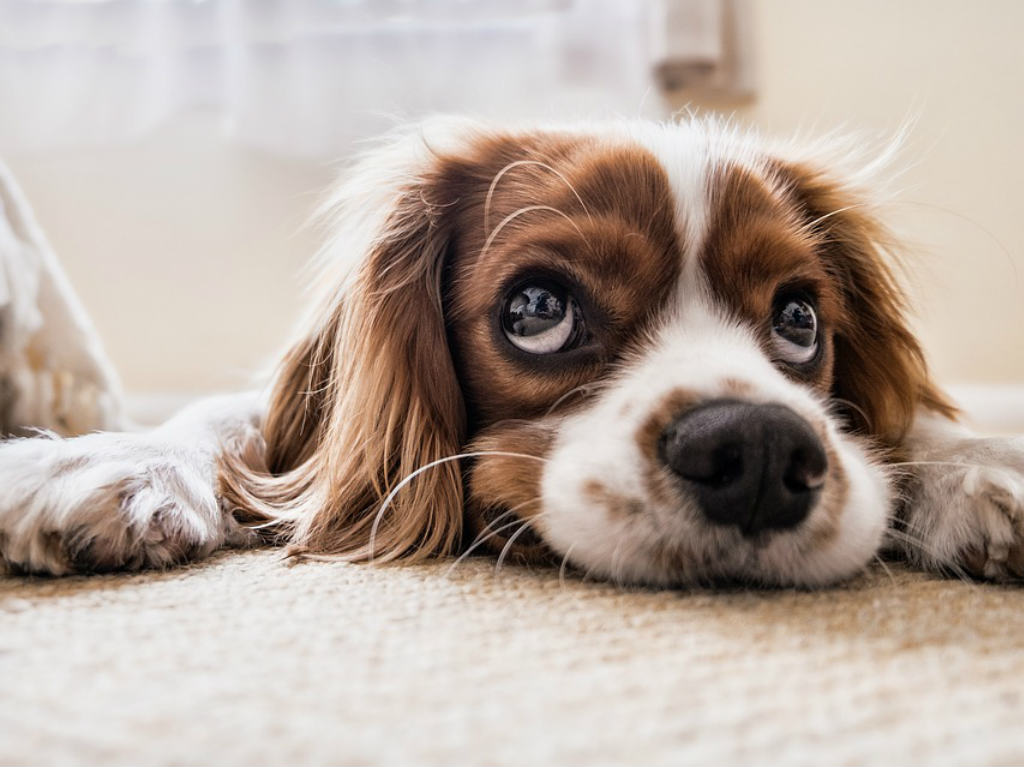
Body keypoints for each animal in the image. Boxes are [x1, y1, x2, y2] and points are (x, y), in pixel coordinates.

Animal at [2, 118, 1024, 585]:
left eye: (802, 319)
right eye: (537, 309)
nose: (763, 450)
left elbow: (912, 423)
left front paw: (978, 461)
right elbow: (230, 417)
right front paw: (112, 461)